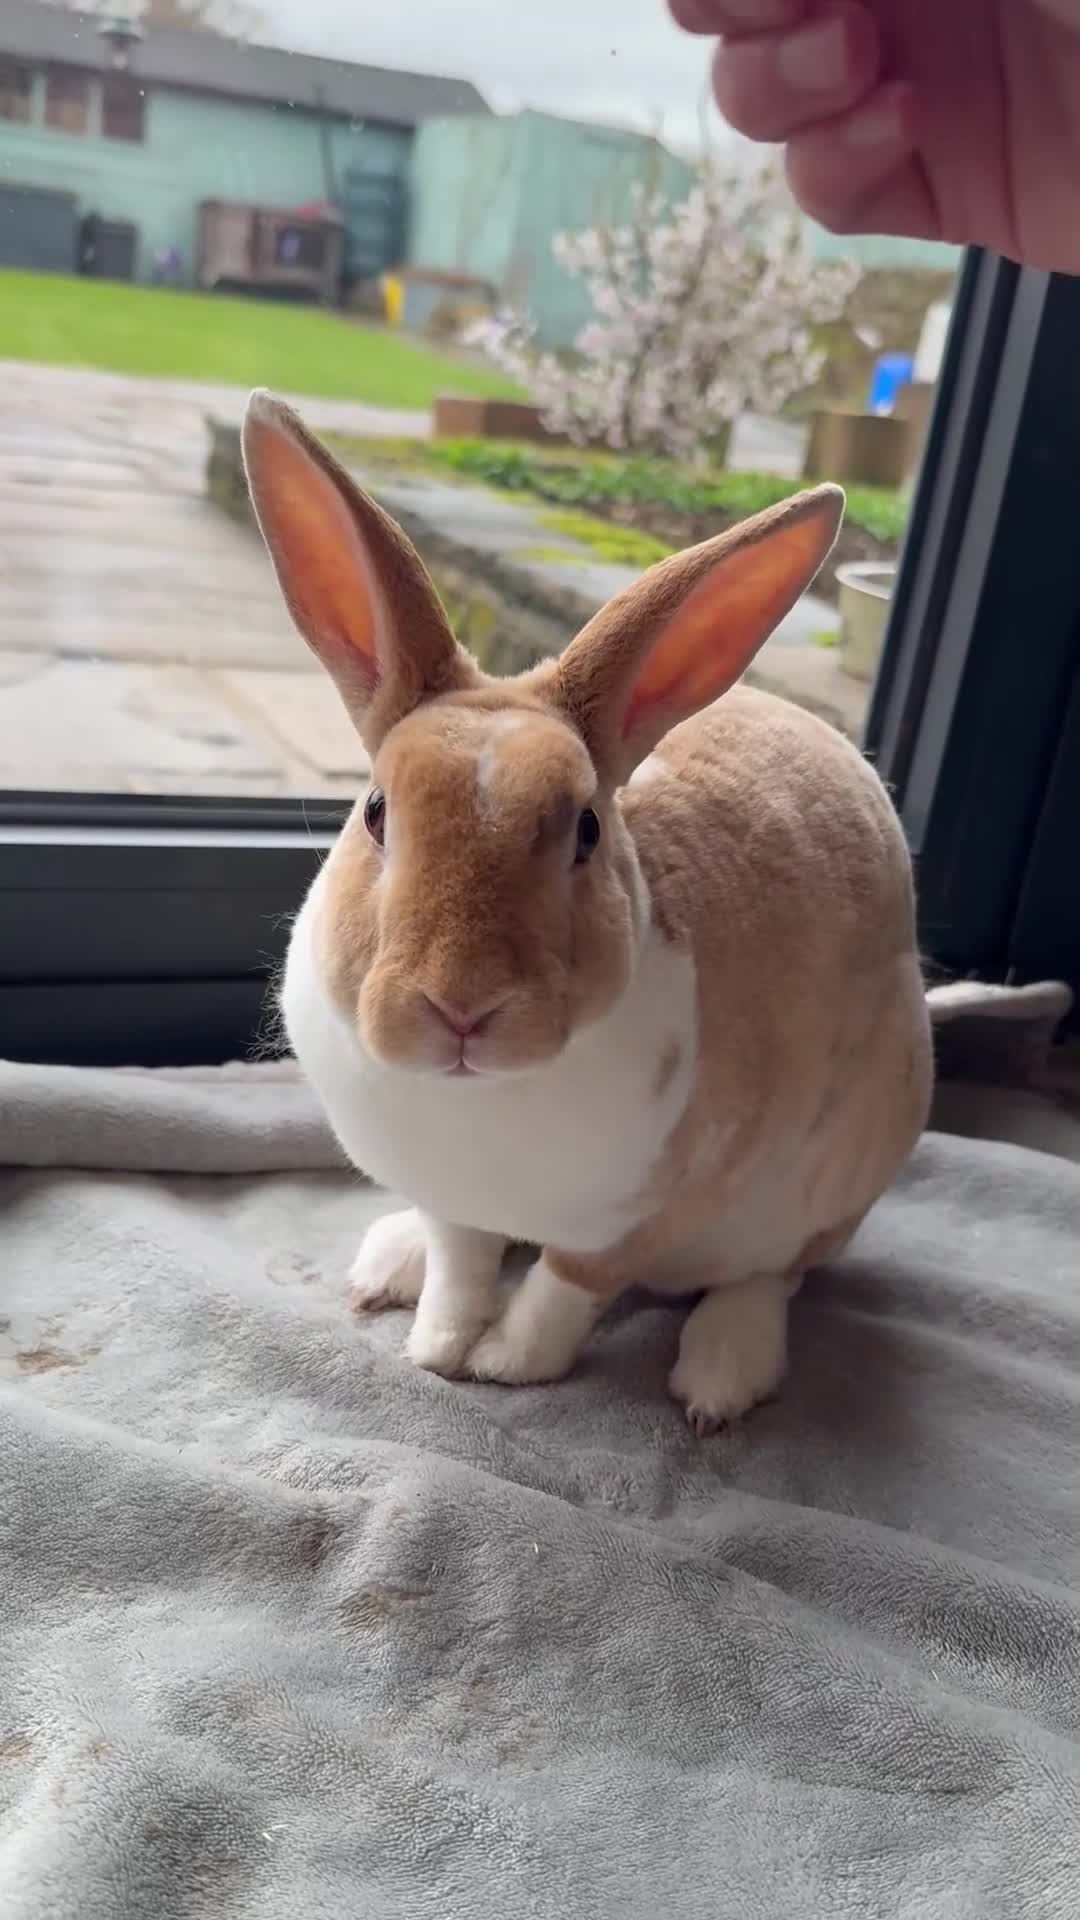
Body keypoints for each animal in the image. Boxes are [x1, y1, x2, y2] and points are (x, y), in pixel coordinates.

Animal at [243, 389, 932, 1433]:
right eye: (376, 812)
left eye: (587, 830)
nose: (460, 1008)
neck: (477, 1101)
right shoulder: (455, 1201)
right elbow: (463, 1261)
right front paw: (437, 1348)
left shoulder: (643, 1217)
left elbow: (567, 1288)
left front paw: (505, 1367)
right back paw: (387, 1266)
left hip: (844, 1169)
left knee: (773, 1274)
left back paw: (719, 1380)